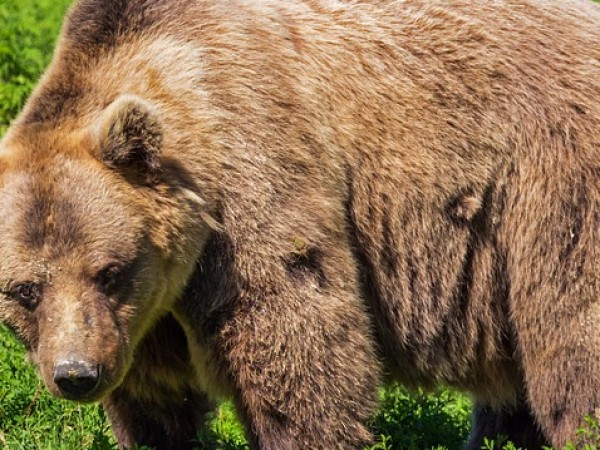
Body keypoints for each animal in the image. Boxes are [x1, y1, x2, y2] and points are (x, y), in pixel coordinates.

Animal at [0, 0, 596, 448]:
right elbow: (156, 400)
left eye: (109, 271)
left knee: (569, 340)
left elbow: (298, 345)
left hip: (549, 184)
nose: (76, 374)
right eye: (25, 289)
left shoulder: (254, 177)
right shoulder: (146, 319)